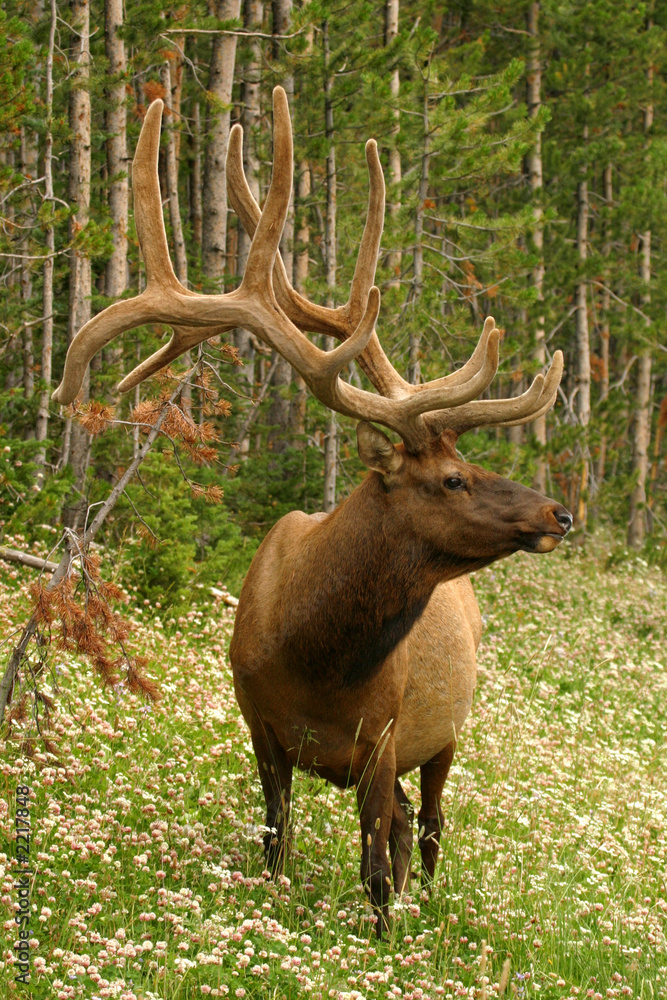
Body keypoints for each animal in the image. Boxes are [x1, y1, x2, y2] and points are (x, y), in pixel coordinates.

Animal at [53, 87, 572, 936]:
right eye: (453, 478)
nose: (557, 514)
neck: (315, 652)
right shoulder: (259, 723)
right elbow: (278, 839)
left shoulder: (385, 736)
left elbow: (375, 871)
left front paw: (387, 937)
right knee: (412, 826)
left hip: (447, 734)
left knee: (430, 828)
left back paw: (431, 901)